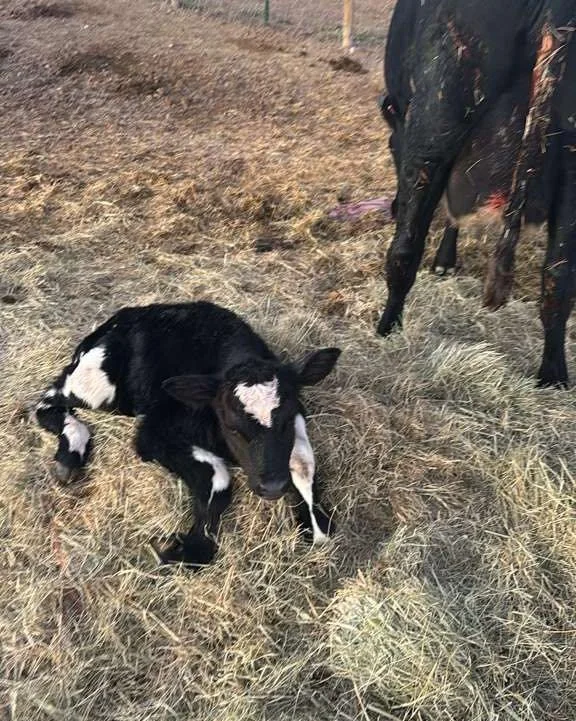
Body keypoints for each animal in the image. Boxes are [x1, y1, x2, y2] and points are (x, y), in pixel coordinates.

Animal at [35, 302, 340, 568]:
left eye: (285, 420)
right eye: (231, 426)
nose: (273, 487)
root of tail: (121, 317)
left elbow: (302, 464)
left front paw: (316, 525)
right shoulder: (154, 434)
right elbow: (218, 477)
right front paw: (191, 548)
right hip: (96, 384)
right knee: (47, 401)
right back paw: (69, 455)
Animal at [378, 0, 576, 387]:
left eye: (392, 148)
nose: (393, 206)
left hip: (438, 118)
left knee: (404, 251)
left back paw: (386, 329)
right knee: (557, 278)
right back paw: (553, 375)